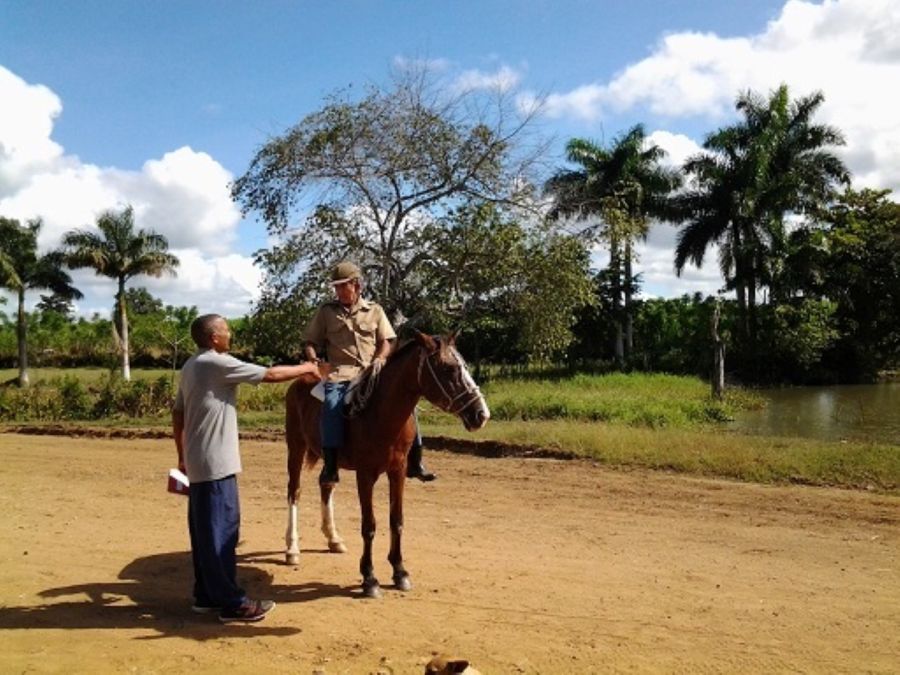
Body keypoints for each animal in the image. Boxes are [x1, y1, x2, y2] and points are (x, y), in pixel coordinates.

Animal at [284, 330, 488, 600]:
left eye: (464, 365)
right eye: (448, 368)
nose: (481, 415)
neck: (380, 412)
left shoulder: (397, 471)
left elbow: (396, 521)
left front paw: (399, 571)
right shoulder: (365, 475)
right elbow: (369, 526)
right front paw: (369, 577)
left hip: (329, 461)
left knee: (326, 484)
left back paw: (334, 538)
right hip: (295, 447)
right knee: (294, 492)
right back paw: (292, 548)